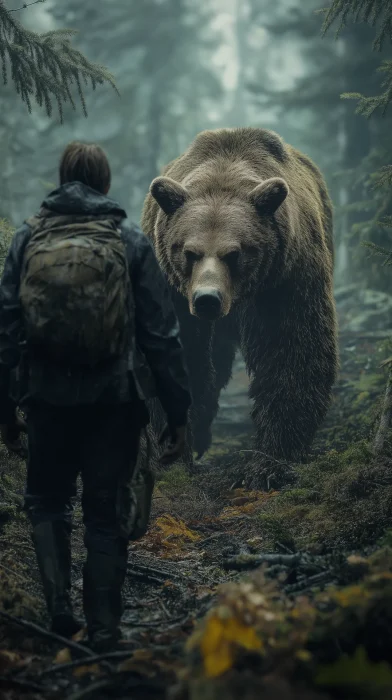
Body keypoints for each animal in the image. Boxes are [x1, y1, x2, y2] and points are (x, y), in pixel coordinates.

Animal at [142, 128, 338, 462]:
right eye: (190, 252)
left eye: (234, 254)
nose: (207, 299)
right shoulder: (168, 290)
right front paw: (172, 446)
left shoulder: (284, 277)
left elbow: (292, 348)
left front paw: (275, 452)